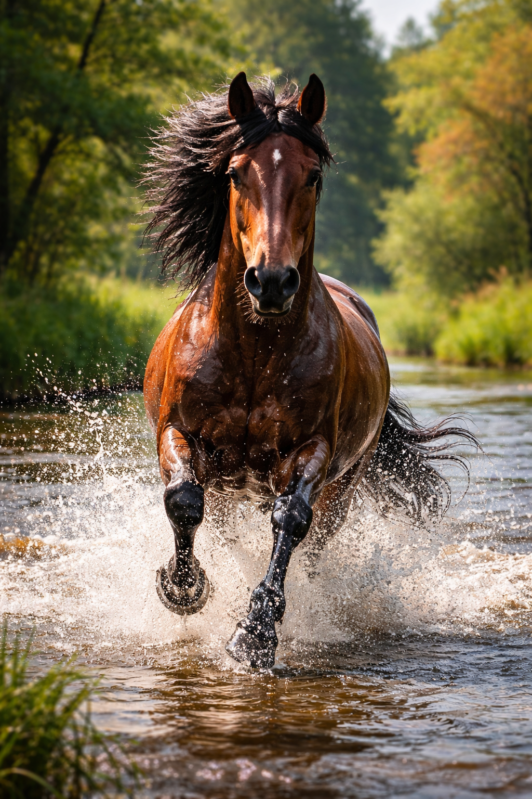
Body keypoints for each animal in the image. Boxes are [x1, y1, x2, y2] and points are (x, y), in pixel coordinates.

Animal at [143, 73, 476, 669]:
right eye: (235, 171)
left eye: (313, 176)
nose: (272, 281)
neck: (254, 354)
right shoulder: (178, 432)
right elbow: (183, 501)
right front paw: (184, 589)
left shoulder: (313, 451)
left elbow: (291, 521)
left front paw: (255, 633)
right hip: (229, 486)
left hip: (344, 485)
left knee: (315, 542)